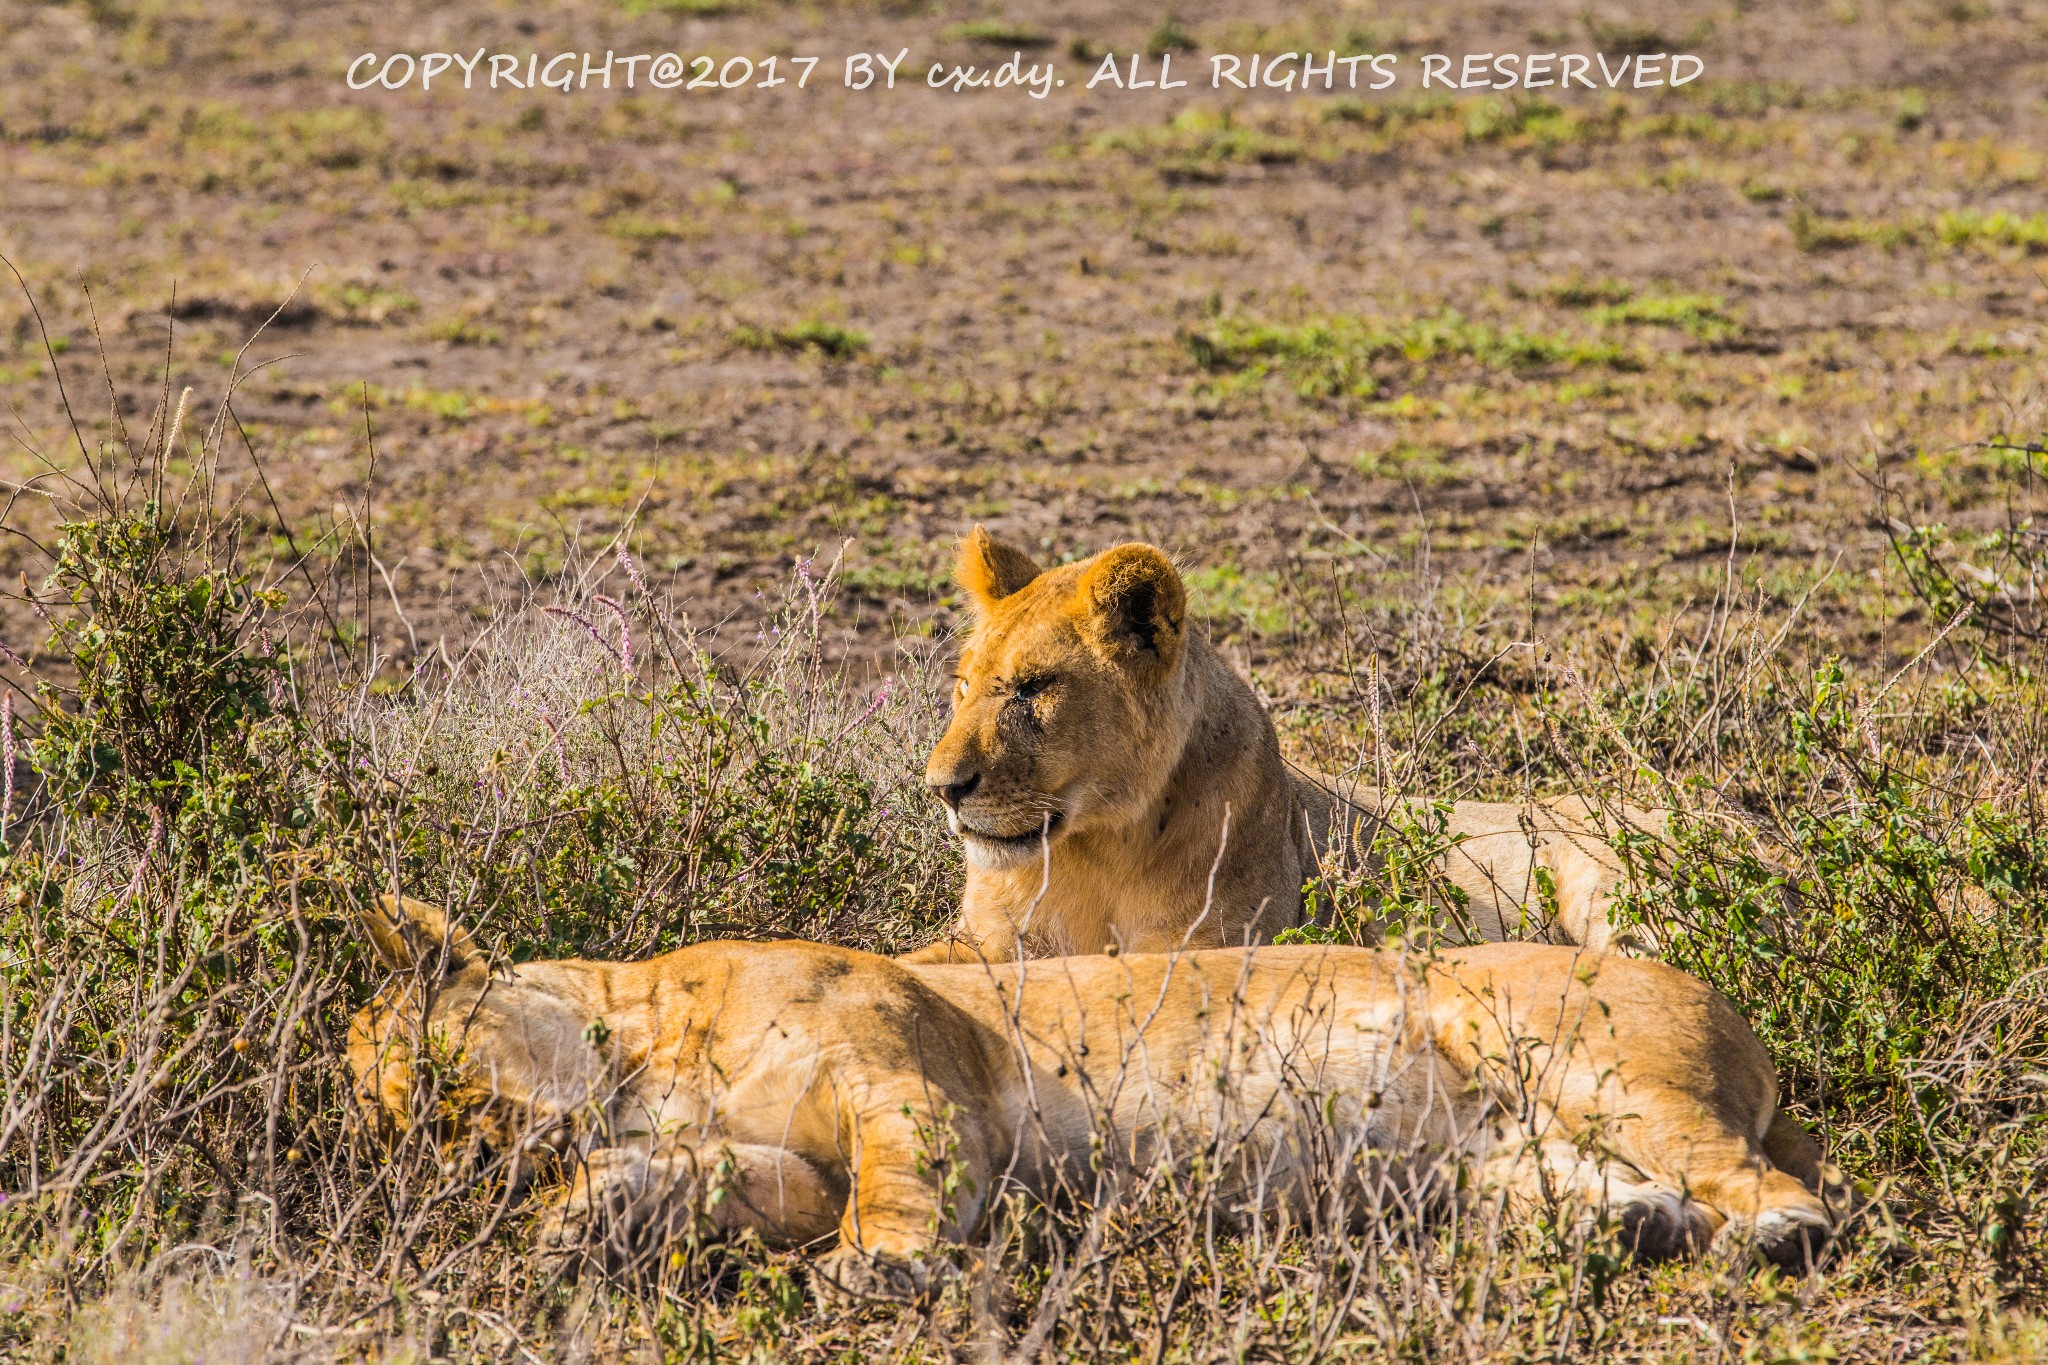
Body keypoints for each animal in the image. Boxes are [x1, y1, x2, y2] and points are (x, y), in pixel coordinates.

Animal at [344, 892, 1835, 1301]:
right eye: (391, 1132)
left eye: (436, 1089)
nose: (458, 1172)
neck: (640, 1054)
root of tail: (1736, 1011)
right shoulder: (778, 1171)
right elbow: (674, 1181)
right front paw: (562, 1236)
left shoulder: (910, 1074)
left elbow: (898, 1185)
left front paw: (877, 1270)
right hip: (1500, 1153)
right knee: (1622, 1189)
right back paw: (1620, 1234)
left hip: (1573, 1055)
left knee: (1771, 1183)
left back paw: (1769, 1238)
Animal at [909, 527, 1662, 965]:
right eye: (963, 684)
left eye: (1032, 688)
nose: (941, 789)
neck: (1093, 849)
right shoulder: (982, 942)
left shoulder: (1214, 944)